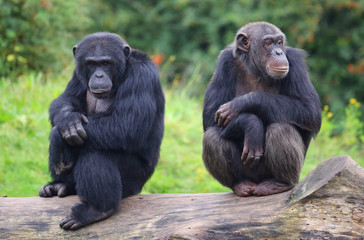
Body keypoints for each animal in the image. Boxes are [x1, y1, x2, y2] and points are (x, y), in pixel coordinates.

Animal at [39, 32, 164, 230]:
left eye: (106, 63)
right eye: (91, 63)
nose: (98, 75)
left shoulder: (141, 76)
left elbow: (123, 123)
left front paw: (58, 136)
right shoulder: (77, 74)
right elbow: (67, 98)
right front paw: (68, 120)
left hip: (134, 181)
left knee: (96, 153)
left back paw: (96, 210)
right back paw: (59, 186)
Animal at [202, 21, 322, 197]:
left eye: (279, 42)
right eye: (268, 43)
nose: (279, 52)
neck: (257, 69)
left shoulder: (295, 62)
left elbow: (310, 109)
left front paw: (242, 103)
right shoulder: (224, 63)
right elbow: (210, 119)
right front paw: (251, 124)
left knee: (281, 128)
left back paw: (279, 183)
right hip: (247, 172)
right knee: (211, 137)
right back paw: (240, 184)